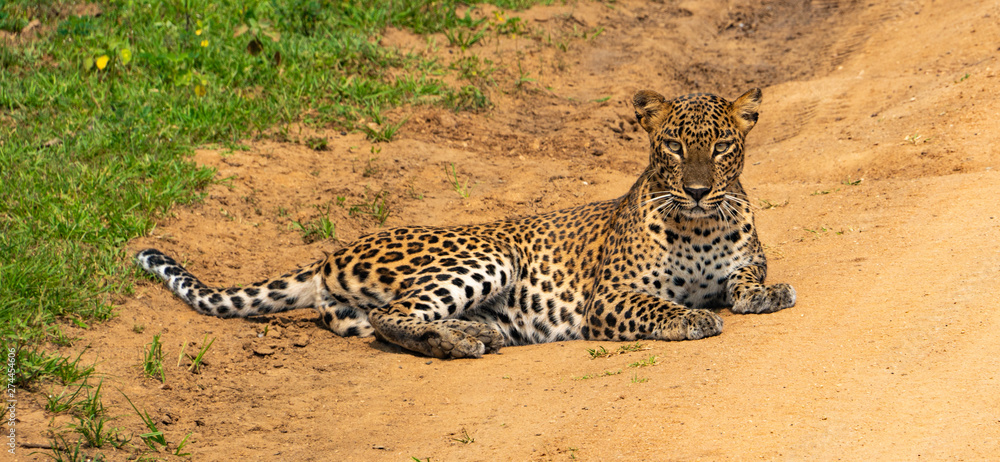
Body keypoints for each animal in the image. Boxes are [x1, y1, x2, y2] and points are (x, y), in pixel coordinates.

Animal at [136, 87, 796, 359]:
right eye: (673, 147)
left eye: (722, 147)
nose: (698, 190)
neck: (700, 228)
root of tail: (329, 255)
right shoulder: (609, 297)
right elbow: (659, 305)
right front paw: (693, 318)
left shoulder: (744, 255)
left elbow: (748, 275)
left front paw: (765, 294)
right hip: (486, 256)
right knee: (394, 313)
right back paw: (459, 341)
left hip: (363, 312)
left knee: (384, 323)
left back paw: (473, 333)